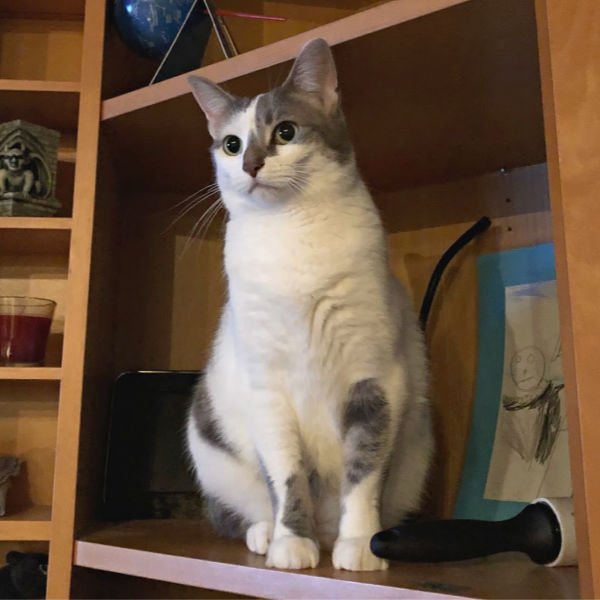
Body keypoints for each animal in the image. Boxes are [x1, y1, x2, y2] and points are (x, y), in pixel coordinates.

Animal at [185, 38, 434, 572]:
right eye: (231, 144)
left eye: (285, 131)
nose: (251, 163)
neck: (291, 230)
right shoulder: (267, 391)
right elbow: (286, 475)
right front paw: (291, 543)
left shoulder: (374, 380)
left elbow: (363, 471)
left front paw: (360, 544)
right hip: (211, 446)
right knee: (239, 509)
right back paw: (267, 533)